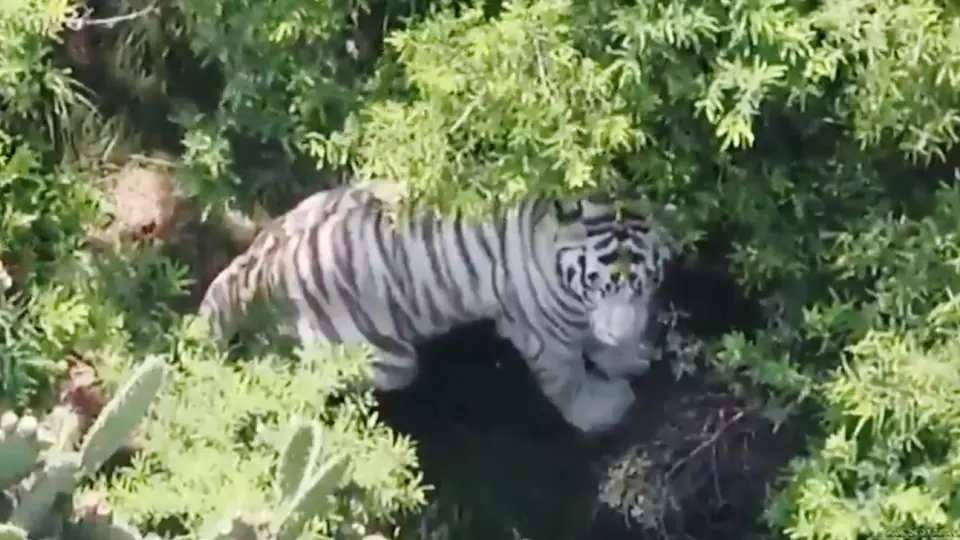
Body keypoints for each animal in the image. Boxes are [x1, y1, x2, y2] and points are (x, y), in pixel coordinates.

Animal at [198, 181, 674, 433]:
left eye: (647, 281)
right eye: (597, 284)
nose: (624, 330)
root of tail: (261, 264)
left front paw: (628, 354)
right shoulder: (545, 333)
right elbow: (569, 379)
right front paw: (603, 409)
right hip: (387, 360)